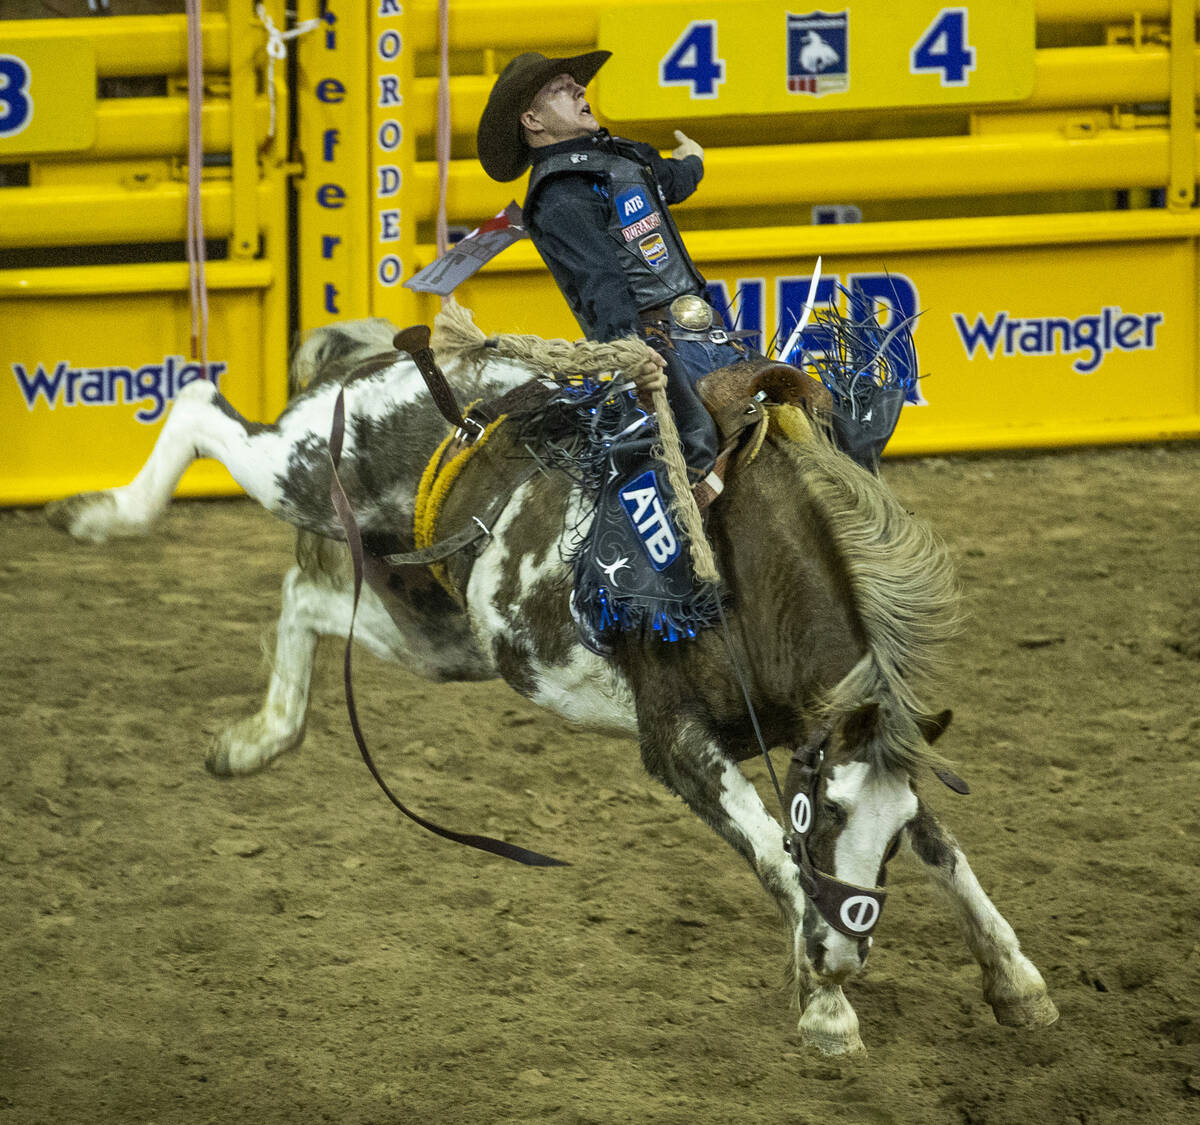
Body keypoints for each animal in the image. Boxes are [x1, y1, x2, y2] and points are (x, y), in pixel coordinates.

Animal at [46, 299, 1060, 1050]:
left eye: (880, 830)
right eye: (830, 810)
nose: (848, 956)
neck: (740, 582)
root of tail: (390, 353)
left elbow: (946, 847)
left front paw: (1016, 979)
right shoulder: (678, 745)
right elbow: (776, 854)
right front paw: (825, 1005)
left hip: (443, 631)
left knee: (306, 596)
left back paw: (255, 740)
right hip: (297, 469)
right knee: (197, 406)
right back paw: (99, 515)